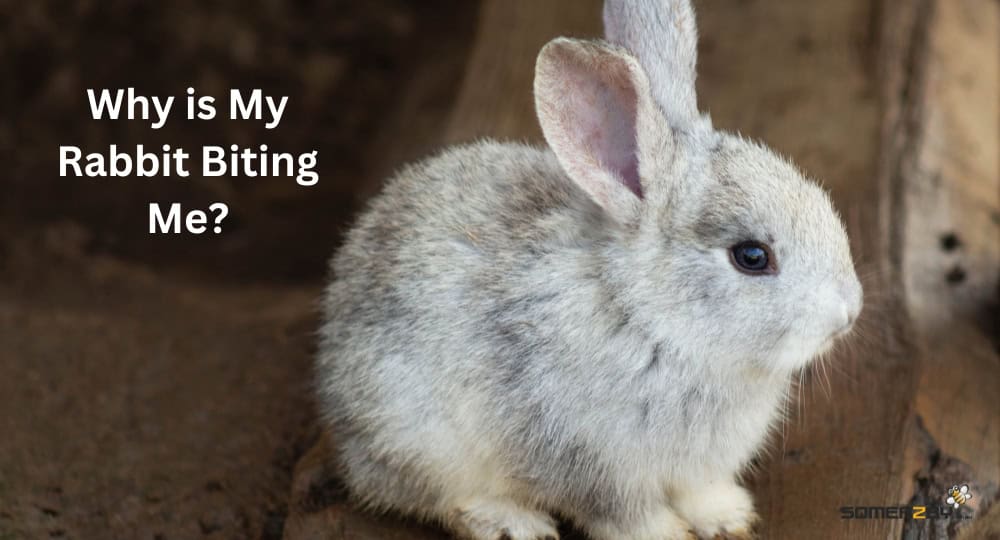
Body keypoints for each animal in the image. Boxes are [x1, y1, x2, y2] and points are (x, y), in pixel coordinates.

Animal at [316, 0, 863, 539]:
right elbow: (624, 515)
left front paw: (729, 517)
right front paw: (670, 534)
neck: (651, 320)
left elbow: (700, 492)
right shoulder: (590, 463)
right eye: (751, 256)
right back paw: (514, 522)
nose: (848, 312)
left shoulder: (697, 469)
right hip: (419, 438)